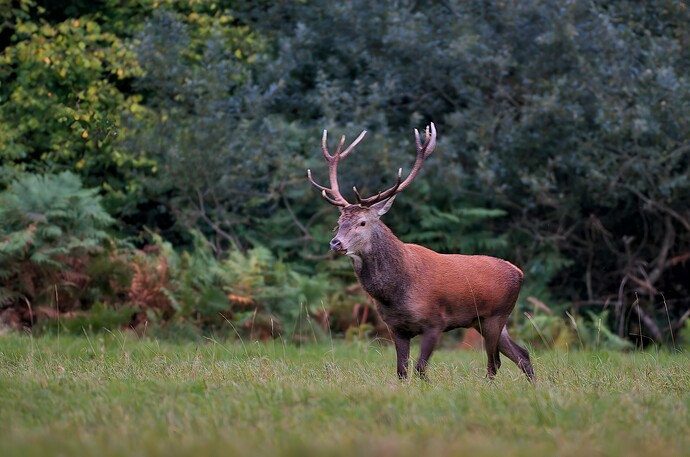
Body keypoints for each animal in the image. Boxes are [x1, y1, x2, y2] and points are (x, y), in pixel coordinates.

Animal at [307, 123, 535, 381]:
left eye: (362, 222)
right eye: (339, 222)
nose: (335, 243)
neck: (395, 293)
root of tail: (519, 272)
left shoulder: (436, 322)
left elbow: (420, 369)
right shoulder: (396, 328)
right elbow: (402, 371)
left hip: (495, 316)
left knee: (494, 362)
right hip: (484, 321)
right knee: (522, 354)